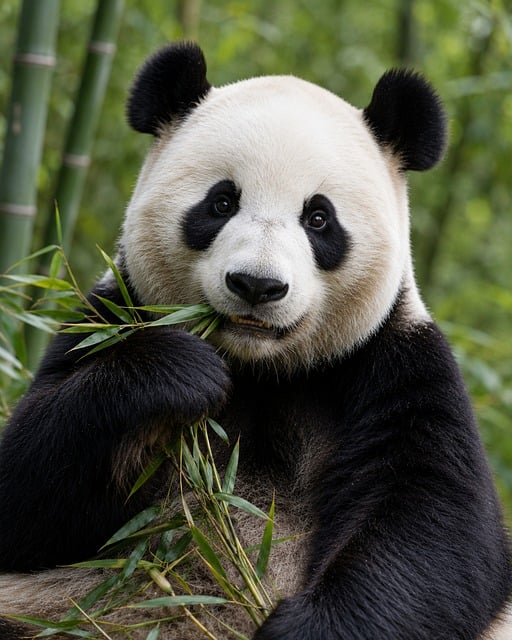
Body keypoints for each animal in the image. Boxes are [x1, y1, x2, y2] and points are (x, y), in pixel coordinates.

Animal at [0, 41, 510, 639]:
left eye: (319, 218)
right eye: (222, 203)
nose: (257, 285)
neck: (262, 368)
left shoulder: (393, 361)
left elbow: (435, 529)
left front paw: (301, 627)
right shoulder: (107, 320)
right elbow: (26, 487)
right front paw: (176, 373)